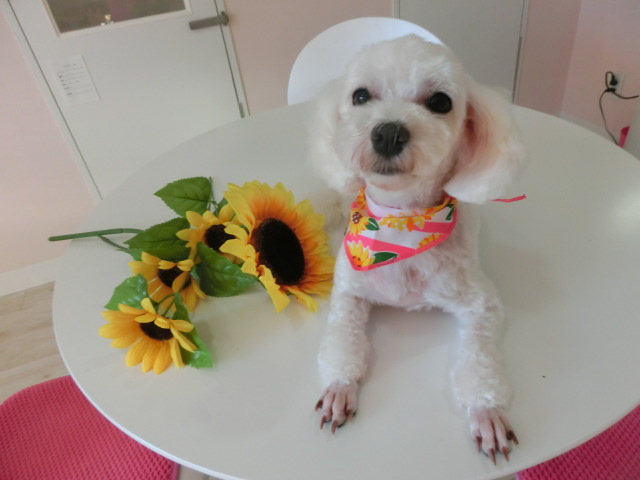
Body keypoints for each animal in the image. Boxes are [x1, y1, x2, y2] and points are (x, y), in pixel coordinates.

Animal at [308, 34, 525, 463]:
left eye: (440, 102)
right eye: (360, 96)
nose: (388, 133)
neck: (401, 225)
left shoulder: (482, 304)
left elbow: (480, 361)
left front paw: (486, 411)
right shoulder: (348, 292)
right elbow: (342, 341)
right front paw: (340, 387)